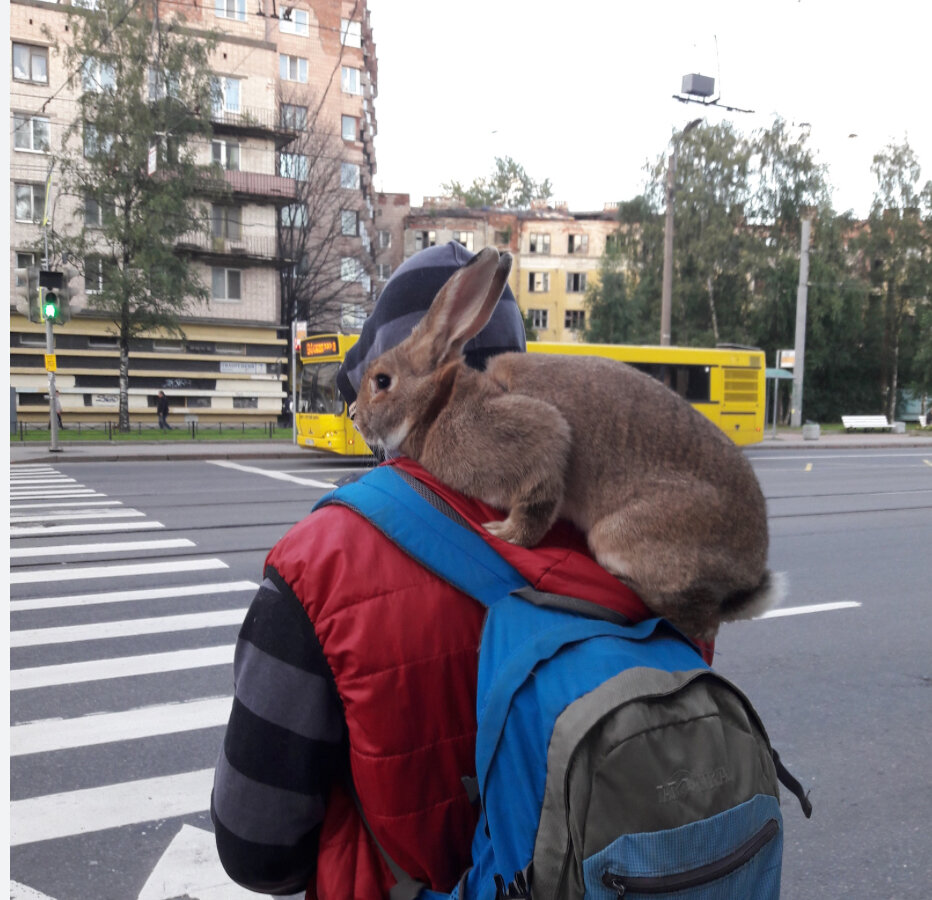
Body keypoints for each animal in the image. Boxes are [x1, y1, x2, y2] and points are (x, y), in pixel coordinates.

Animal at [354, 246, 784, 640]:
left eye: (381, 381)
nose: (356, 417)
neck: (440, 402)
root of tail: (751, 572)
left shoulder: (538, 434)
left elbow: (538, 497)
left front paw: (502, 533)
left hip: (622, 534)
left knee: (697, 620)